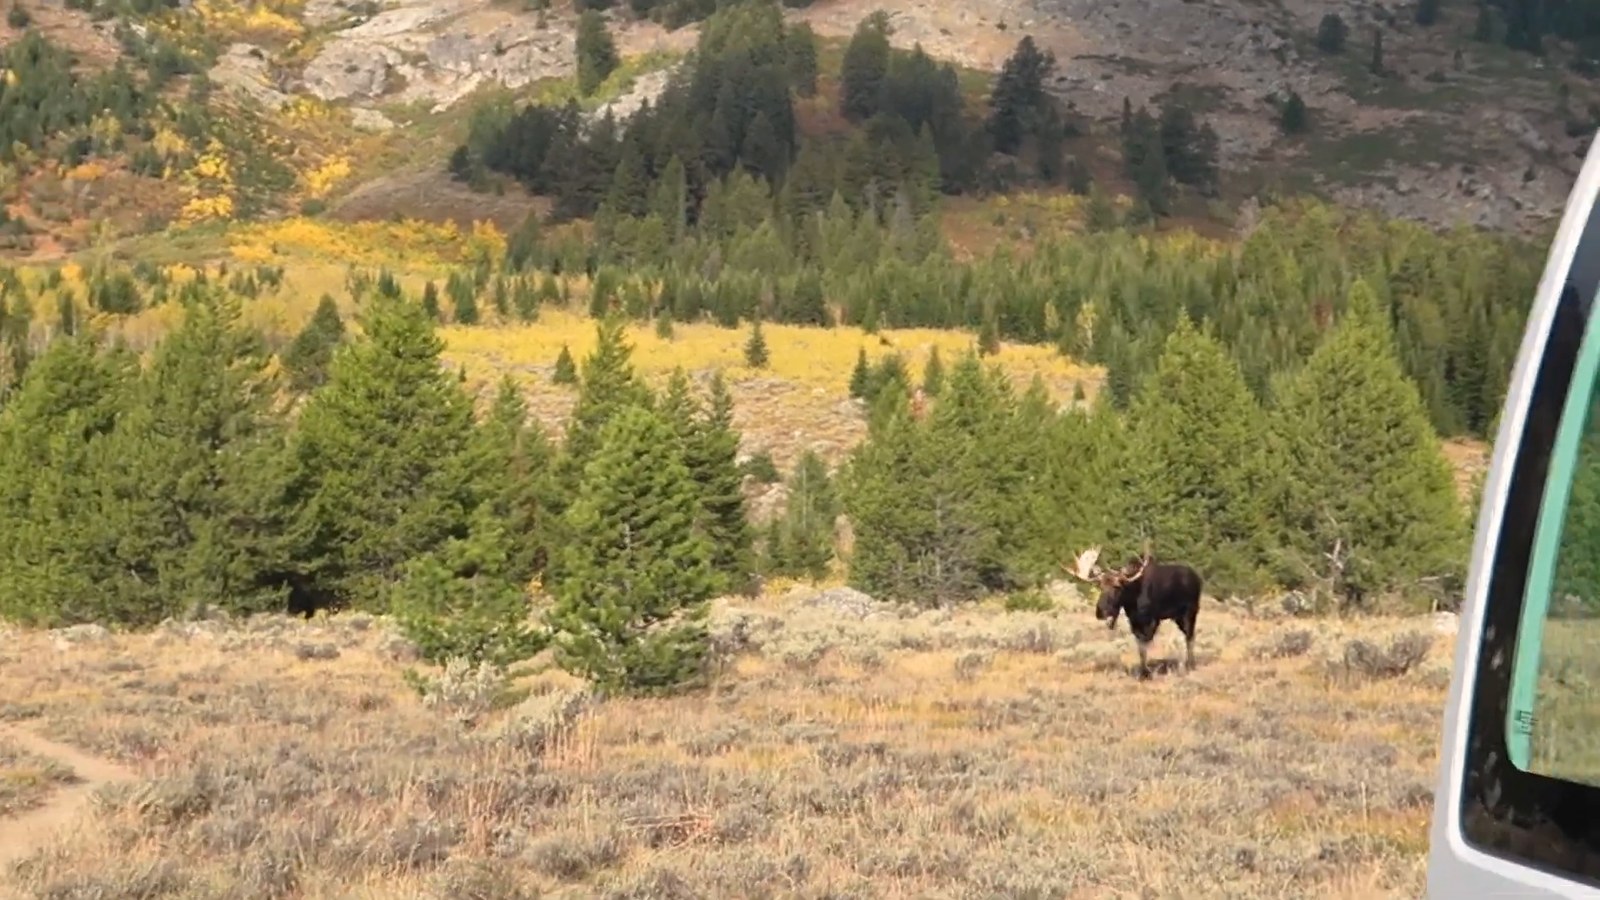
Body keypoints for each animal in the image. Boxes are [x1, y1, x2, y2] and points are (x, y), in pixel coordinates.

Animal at [1064, 546, 1204, 679]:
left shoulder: (1152, 620)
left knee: (1190, 636)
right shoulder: (1134, 621)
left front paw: (1146, 673)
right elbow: (1140, 648)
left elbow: (1144, 646)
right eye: (1100, 586)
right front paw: (1143, 673)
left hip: (1190, 613)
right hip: (1177, 617)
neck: (1132, 599)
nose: (1101, 611)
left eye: (1117, 587)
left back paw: (1190, 665)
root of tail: (1198, 579)